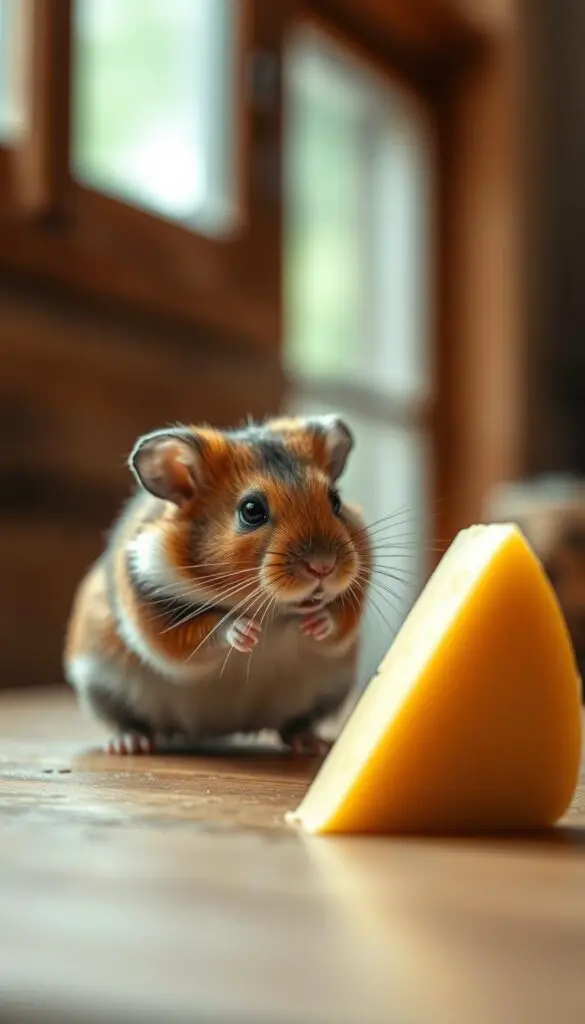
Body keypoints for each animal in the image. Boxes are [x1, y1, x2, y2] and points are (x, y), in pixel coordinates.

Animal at [64, 414, 371, 754]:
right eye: (251, 510)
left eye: (336, 501)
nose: (323, 567)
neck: (271, 610)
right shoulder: (156, 612)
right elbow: (205, 632)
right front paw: (246, 631)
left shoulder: (356, 592)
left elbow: (339, 622)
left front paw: (315, 623)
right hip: (102, 684)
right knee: (130, 721)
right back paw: (129, 744)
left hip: (331, 690)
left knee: (295, 724)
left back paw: (312, 743)